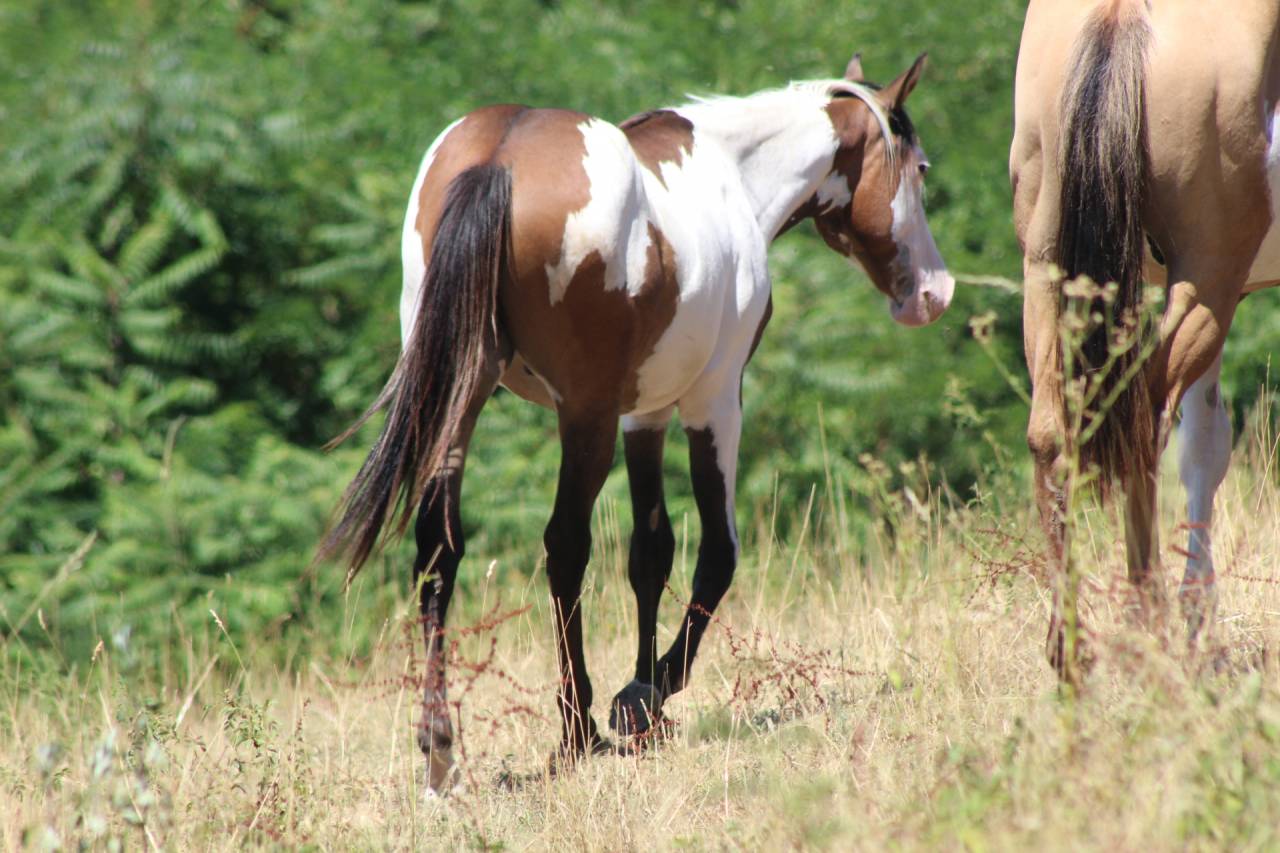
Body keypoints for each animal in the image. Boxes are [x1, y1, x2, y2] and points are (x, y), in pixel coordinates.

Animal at [321, 52, 953, 791]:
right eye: (920, 168)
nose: (933, 293)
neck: (733, 176)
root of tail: (501, 157)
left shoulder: (643, 415)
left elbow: (650, 551)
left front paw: (646, 693)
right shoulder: (713, 400)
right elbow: (716, 552)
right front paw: (645, 696)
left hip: (461, 396)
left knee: (438, 548)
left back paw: (440, 750)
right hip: (584, 418)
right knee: (565, 547)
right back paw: (577, 726)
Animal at [1011, 0, 1280, 680]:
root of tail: (1122, 14)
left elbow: (1205, 443)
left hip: (1048, 268)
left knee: (1052, 435)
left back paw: (1073, 652)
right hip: (1207, 278)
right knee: (1144, 420)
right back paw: (1149, 627)